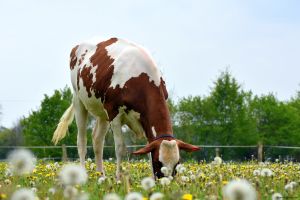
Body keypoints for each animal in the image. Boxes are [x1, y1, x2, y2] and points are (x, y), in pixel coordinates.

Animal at [52, 36, 200, 179]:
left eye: (177, 164)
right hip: (79, 101)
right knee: (82, 142)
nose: (167, 183)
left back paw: (101, 176)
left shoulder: (143, 119)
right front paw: (119, 178)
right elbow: (120, 148)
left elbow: (148, 149)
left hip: (103, 113)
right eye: (158, 162)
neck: (139, 78)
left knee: (97, 140)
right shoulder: (114, 113)